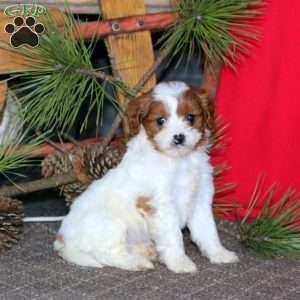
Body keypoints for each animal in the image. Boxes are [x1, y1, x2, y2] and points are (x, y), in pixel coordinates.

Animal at [54, 81, 238, 274]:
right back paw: (136, 262)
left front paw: (220, 254)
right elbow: (174, 236)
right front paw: (179, 263)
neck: (179, 160)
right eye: (161, 120)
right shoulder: (161, 206)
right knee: (109, 254)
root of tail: (62, 240)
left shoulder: (200, 199)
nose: (179, 137)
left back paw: (147, 251)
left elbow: (207, 230)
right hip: (112, 224)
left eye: (190, 117)